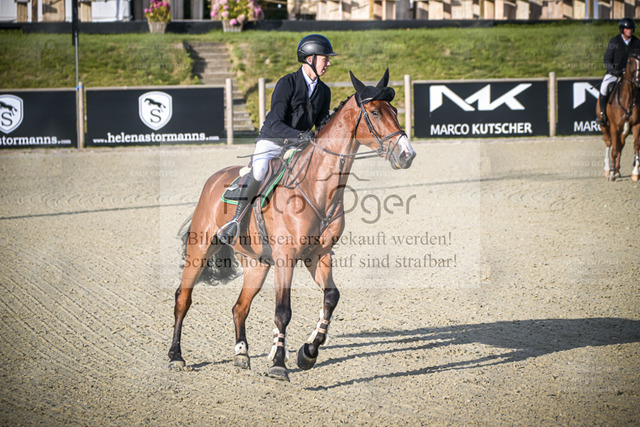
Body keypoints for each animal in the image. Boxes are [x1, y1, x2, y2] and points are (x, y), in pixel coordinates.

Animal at [168, 69, 417, 381]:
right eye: (374, 112)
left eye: (395, 111)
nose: (407, 154)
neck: (316, 189)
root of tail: (213, 181)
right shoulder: (286, 258)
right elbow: (283, 311)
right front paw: (278, 363)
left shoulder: (318, 256)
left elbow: (331, 297)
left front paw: (307, 352)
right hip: (200, 250)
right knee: (183, 299)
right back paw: (176, 356)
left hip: (257, 264)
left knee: (240, 307)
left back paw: (242, 353)